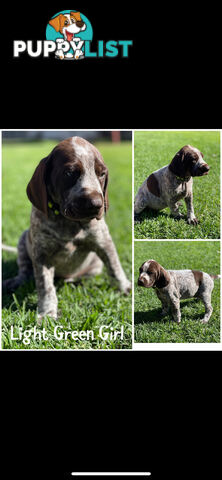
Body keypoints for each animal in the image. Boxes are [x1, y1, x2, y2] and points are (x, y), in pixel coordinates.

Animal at [3, 135, 131, 322]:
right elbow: (46, 286)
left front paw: (125, 287)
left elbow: (115, 267)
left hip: (94, 265)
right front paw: (47, 311)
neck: (69, 223)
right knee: (25, 271)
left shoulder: (104, 242)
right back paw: (15, 281)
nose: (96, 204)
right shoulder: (42, 255)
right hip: (23, 241)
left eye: (101, 174)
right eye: (69, 173)